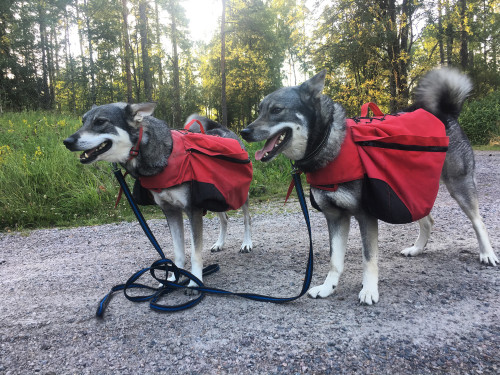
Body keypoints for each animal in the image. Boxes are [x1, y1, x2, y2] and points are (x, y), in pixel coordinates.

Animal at [241, 67, 496, 306]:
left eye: (276, 110)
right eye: (259, 110)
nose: (245, 131)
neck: (327, 143)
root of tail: (444, 113)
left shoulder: (365, 215)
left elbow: (368, 258)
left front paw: (369, 290)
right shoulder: (335, 217)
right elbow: (335, 261)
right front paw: (328, 288)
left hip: (458, 184)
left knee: (478, 221)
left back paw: (487, 254)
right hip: (408, 190)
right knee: (427, 220)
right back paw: (417, 248)